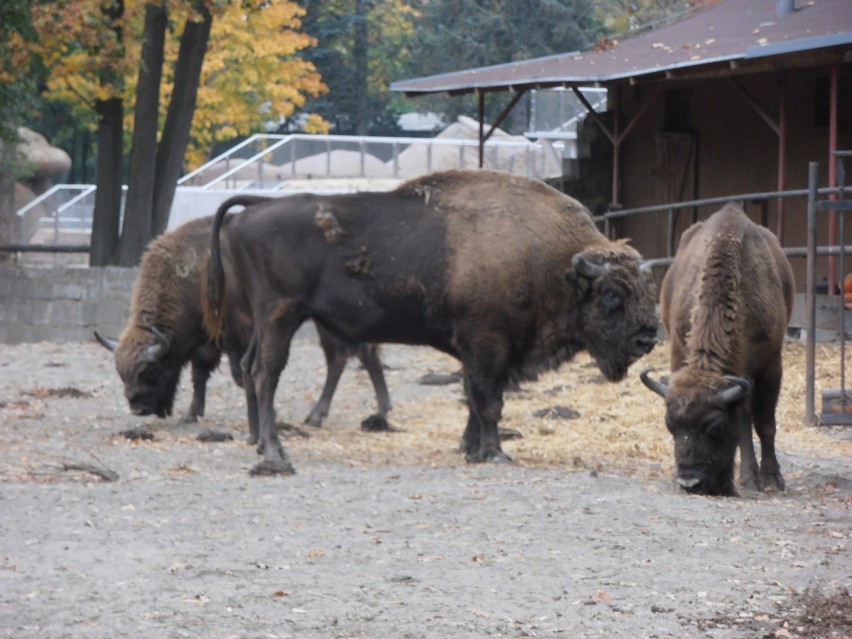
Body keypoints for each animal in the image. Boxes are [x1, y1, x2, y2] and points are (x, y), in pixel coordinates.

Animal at [97, 208, 392, 430]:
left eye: (150, 370)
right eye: (121, 374)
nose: (138, 408)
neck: (191, 271)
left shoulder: (236, 333)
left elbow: (239, 373)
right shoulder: (206, 341)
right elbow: (199, 376)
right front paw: (191, 414)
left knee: (346, 356)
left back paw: (336, 414)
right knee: (355, 355)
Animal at [206, 169, 660, 476]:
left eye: (647, 289)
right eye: (611, 294)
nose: (648, 337)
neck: (552, 264)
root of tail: (251, 211)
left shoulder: (482, 354)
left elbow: (474, 400)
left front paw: (471, 449)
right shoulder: (488, 346)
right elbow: (488, 402)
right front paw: (495, 453)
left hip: (265, 321)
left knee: (248, 368)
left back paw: (257, 444)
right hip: (280, 316)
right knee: (266, 375)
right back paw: (276, 452)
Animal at [644, 202, 796, 498]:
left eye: (714, 425)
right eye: (670, 425)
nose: (690, 482)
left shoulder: (770, 366)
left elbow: (765, 424)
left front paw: (771, 478)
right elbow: (746, 420)